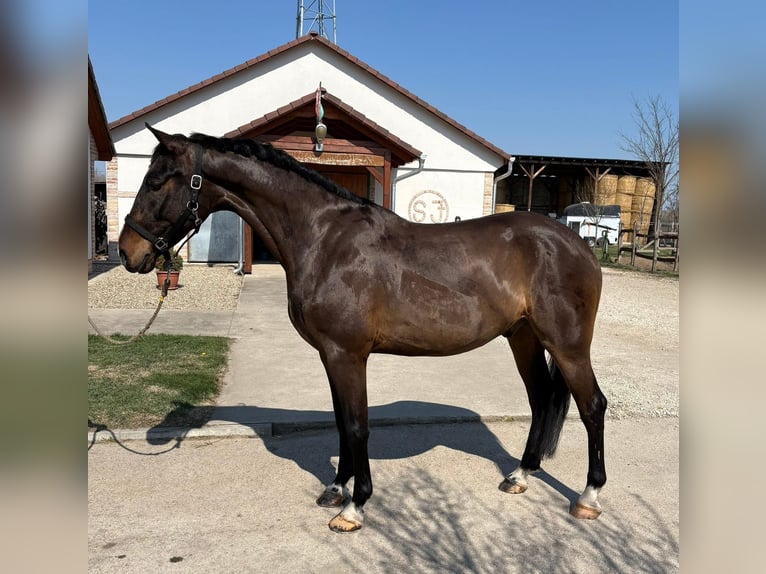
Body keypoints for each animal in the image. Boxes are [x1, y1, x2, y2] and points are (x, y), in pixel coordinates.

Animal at [119, 125, 608, 533]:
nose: (127, 252)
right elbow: (340, 422)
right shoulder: (331, 355)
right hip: (523, 338)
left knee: (592, 406)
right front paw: (335, 489)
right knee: (541, 400)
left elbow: (356, 426)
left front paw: (354, 507)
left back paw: (588, 496)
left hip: (567, 345)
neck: (324, 239)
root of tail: (578, 243)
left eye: (159, 180)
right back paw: (520, 475)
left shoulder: (347, 354)